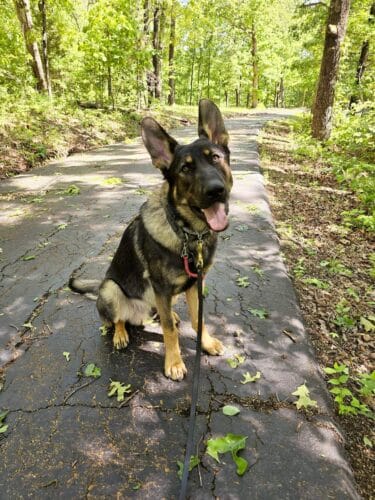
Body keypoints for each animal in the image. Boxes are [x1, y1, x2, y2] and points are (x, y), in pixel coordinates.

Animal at [69, 99, 231, 378]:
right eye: (185, 168)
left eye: (216, 158)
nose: (216, 190)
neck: (188, 235)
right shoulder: (162, 288)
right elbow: (168, 331)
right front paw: (174, 362)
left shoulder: (194, 286)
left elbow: (197, 320)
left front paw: (206, 343)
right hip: (111, 288)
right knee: (119, 319)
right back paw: (121, 334)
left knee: (159, 311)